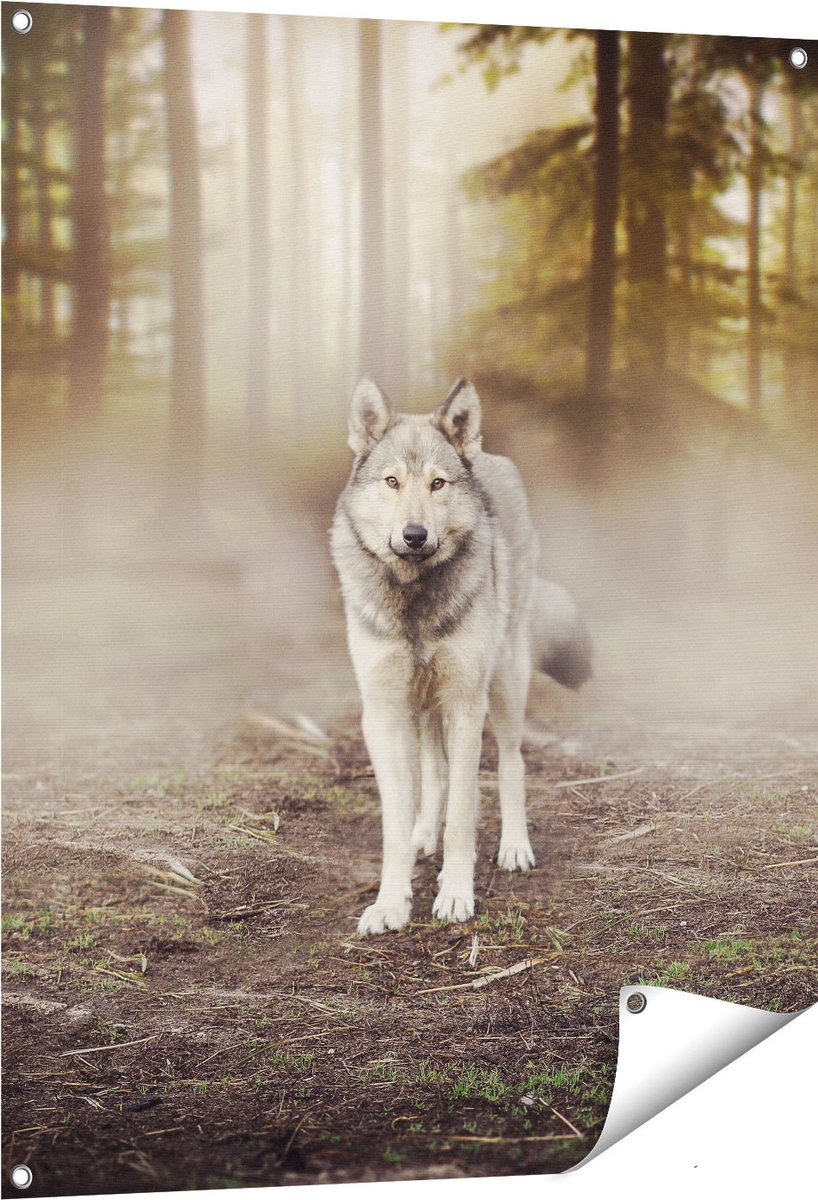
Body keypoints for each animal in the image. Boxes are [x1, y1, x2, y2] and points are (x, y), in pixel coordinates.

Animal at [331, 378, 591, 935]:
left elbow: (463, 817)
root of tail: (490, 455)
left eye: (438, 484)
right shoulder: (384, 714)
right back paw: (422, 834)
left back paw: (514, 846)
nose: (414, 535)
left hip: (505, 684)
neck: (415, 601)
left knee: (511, 764)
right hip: (425, 705)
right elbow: (395, 821)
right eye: (392, 482)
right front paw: (390, 902)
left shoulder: (466, 706)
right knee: (435, 774)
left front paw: (454, 895)